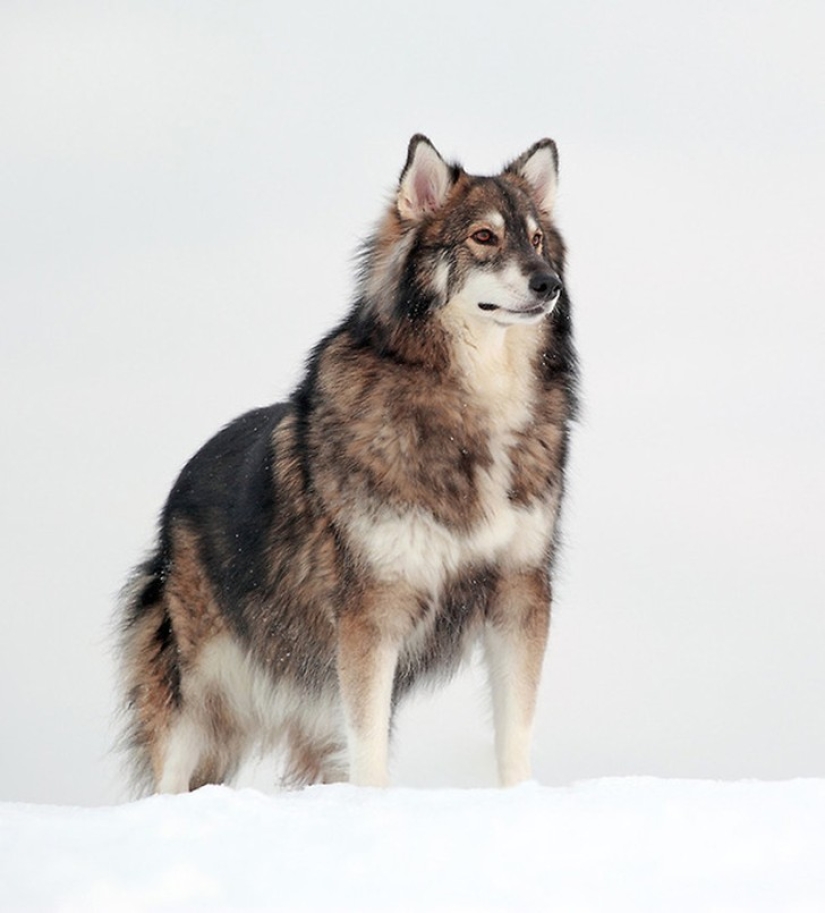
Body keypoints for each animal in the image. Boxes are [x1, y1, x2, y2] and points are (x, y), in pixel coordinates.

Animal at [117, 134, 580, 792]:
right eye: (484, 236)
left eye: (537, 239)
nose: (549, 284)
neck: (473, 403)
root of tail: (179, 483)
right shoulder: (371, 615)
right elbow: (370, 748)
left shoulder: (520, 597)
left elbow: (514, 733)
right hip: (200, 695)